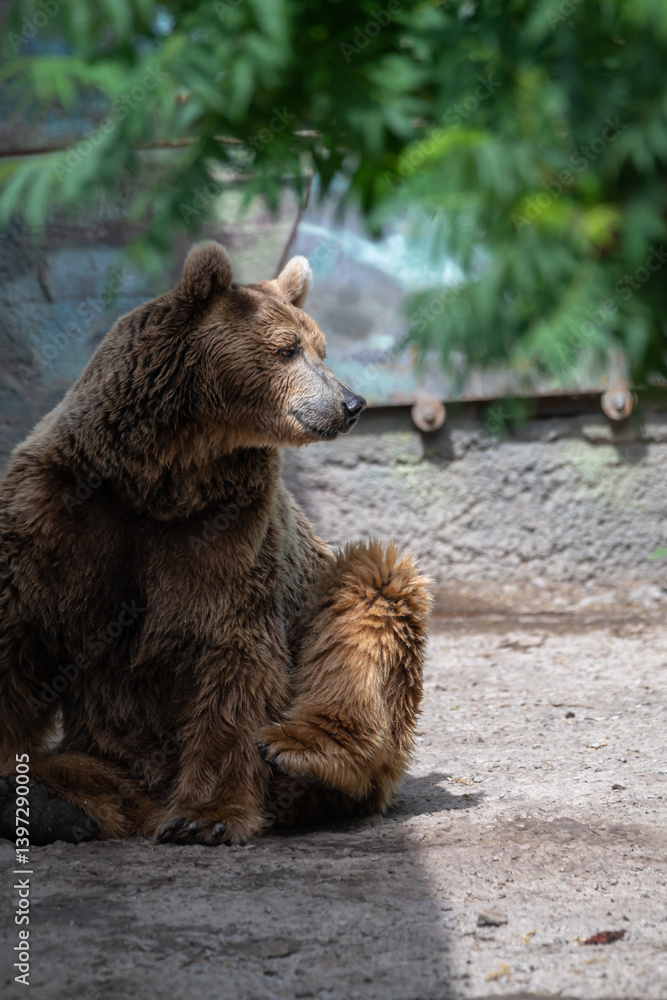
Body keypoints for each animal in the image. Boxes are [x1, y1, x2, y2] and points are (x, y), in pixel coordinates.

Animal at [0, 241, 430, 846]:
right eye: (287, 349)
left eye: (321, 348)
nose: (351, 403)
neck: (165, 475)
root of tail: (144, 800)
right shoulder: (59, 513)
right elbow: (19, 638)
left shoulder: (231, 533)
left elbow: (230, 654)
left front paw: (205, 816)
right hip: (109, 749)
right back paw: (51, 803)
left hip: (332, 595)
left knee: (370, 600)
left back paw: (301, 759)